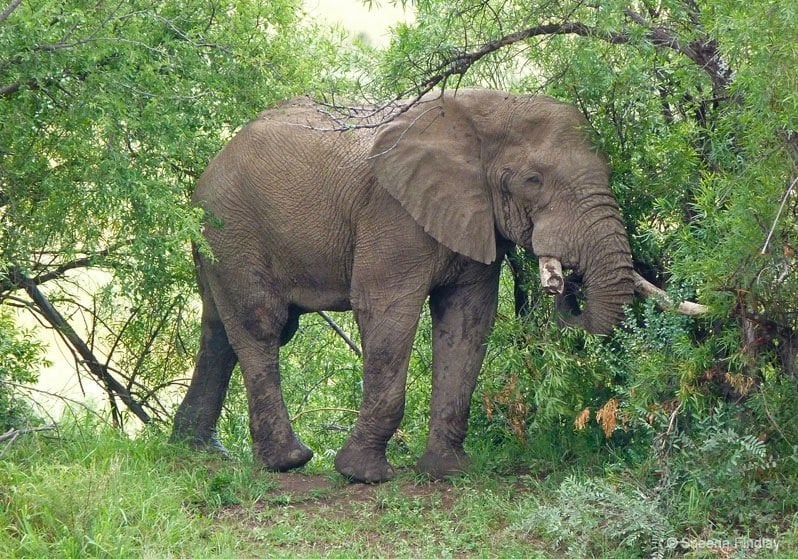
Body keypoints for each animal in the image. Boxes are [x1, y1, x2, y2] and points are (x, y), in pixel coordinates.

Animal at [172, 89, 636, 484]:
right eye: (533, 181)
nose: (564, 284)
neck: (479, 114)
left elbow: (466, 321)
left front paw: (449, 472)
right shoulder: (392, 213)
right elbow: (385, 310)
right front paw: (364, 475)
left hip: (217, 238)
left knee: (218, 332)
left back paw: (197, 449)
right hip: (232, 229)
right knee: (261, 325)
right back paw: (287, 462)